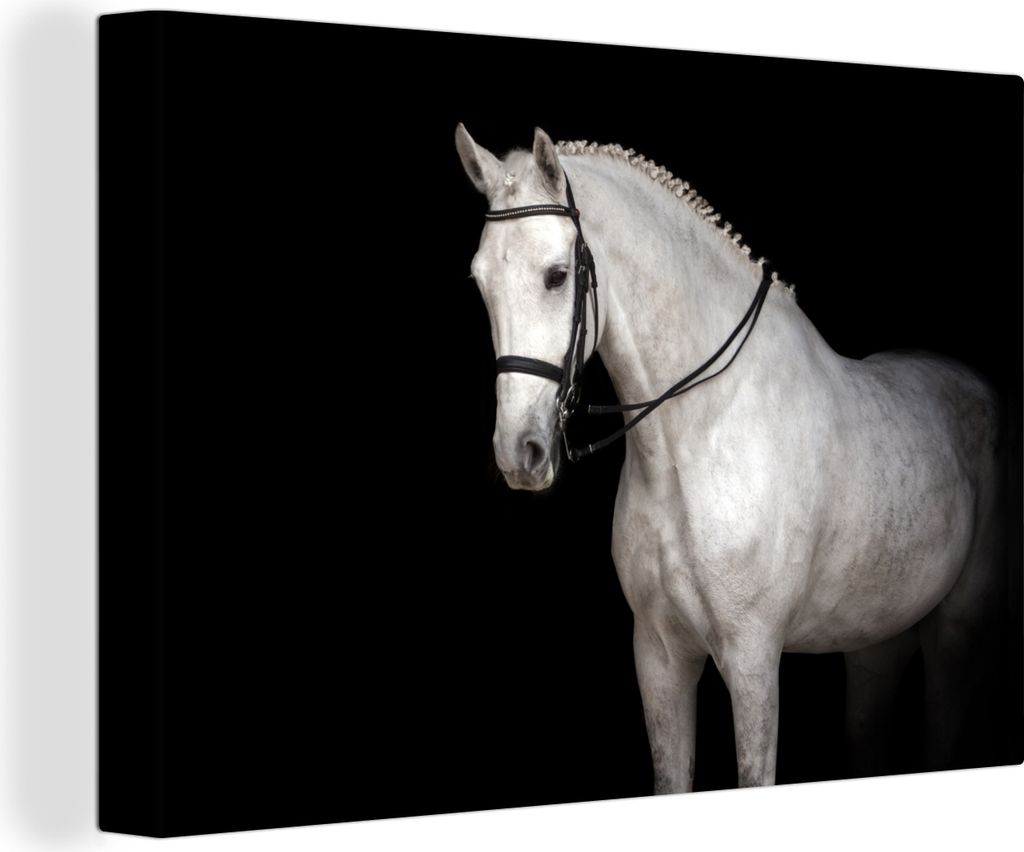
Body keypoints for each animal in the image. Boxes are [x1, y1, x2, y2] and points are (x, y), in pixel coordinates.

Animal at [454, 125, 1005, 791]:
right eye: (480, 281)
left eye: (557, 276)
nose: (520, 453)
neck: (698, 437)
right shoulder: (659, 655)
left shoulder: (751, 655)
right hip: (876, 640)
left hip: (959, 634)